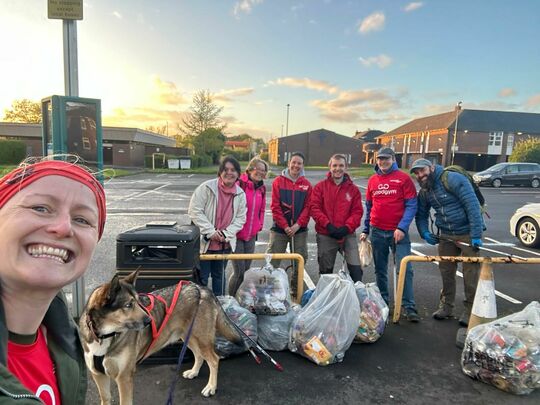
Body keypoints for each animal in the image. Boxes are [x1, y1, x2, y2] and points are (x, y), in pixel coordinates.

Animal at [79, 268, 243, 404]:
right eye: (128, 305)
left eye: (138, 301)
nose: (149, 320)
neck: (104, 336)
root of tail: (201, 289)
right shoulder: (98, 375)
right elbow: (105, 398)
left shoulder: (124, 378)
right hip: (188, 336)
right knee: (199, 355)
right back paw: (194, 372)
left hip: (200, 338)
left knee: (214, 359)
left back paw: (211, 387)